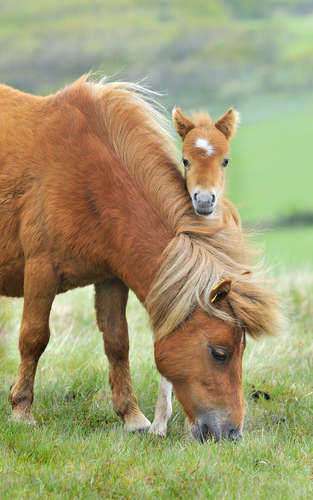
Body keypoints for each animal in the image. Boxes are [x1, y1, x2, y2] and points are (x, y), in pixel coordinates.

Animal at [0, 77, 278, 442]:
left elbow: (117, 342)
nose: (232, 433)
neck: (87, 176)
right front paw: (21, 411)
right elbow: (34, 338)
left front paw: (132, 417)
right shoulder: (41, 270)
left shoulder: (110, 279)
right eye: (219, 353)